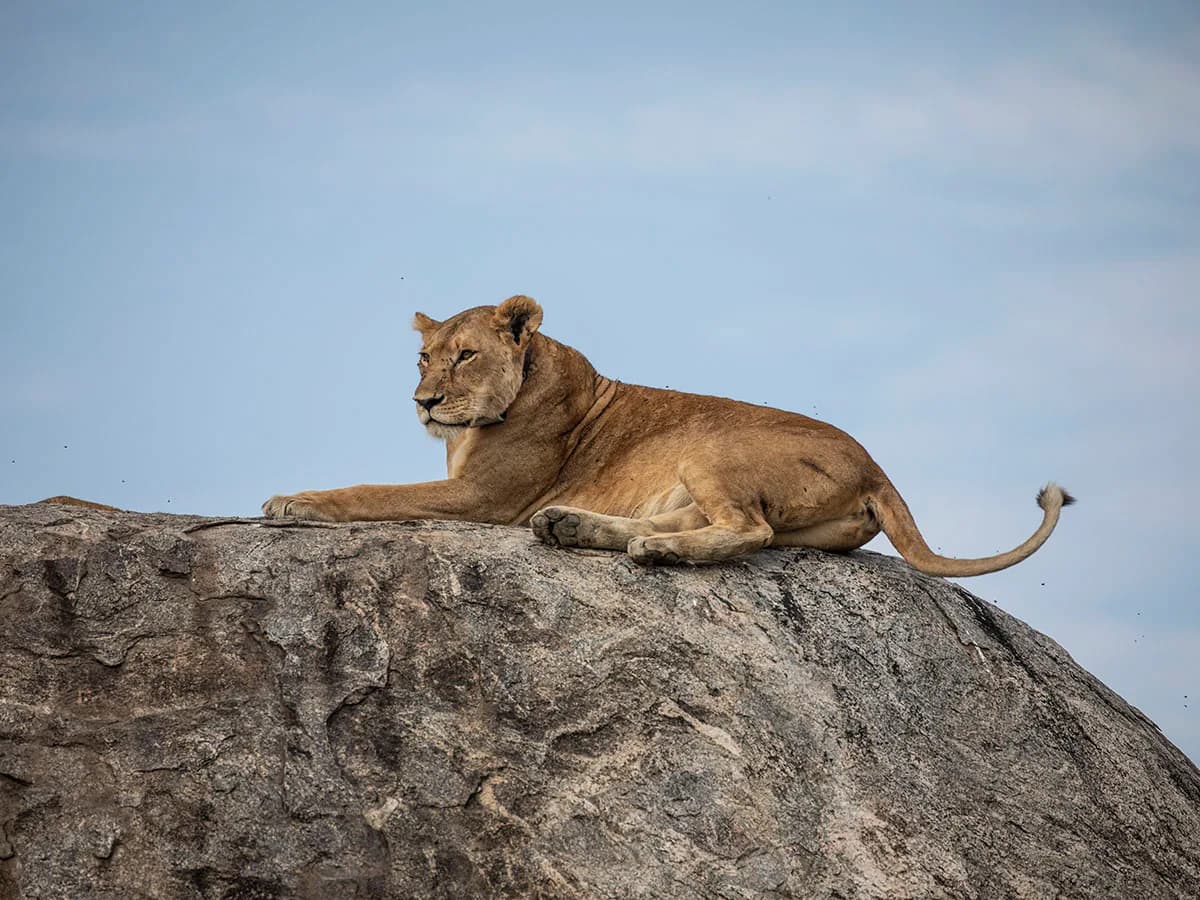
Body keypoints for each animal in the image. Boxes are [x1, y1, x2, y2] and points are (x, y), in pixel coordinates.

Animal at [262, 295, 1073, 574]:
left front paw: (294, 502)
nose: (423, 402)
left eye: (465, 356)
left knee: (745, 530)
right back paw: (578, 528)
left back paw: (648, 551)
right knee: (717, 527)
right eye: (424, 358)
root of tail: (879, 470)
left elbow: (373, 489)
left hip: (712, 443)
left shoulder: (484, 497)